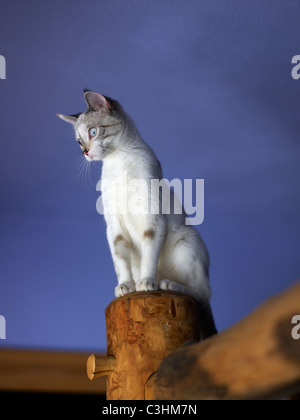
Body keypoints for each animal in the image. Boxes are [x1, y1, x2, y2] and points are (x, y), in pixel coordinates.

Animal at [56, 90, 216, 336]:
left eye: (93, 132)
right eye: (78, 141)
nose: (85, 152)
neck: (117, 162)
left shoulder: (152, 217)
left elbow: (149, 253)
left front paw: (145, 282)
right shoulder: (113, 225)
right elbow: (120, 260)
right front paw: (126, 286)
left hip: (186, 243)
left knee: (202, 293)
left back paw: (166, 283)